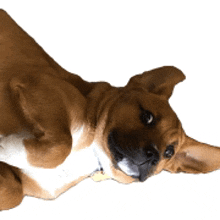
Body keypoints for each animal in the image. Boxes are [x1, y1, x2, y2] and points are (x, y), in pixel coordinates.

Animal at [0, 9, 220, 211]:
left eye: (169, 152)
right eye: (147, 117)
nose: (153, 156)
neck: (90, 152)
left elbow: (14, 192)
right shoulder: (36, 84)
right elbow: (61, 145)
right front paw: (5, 146)